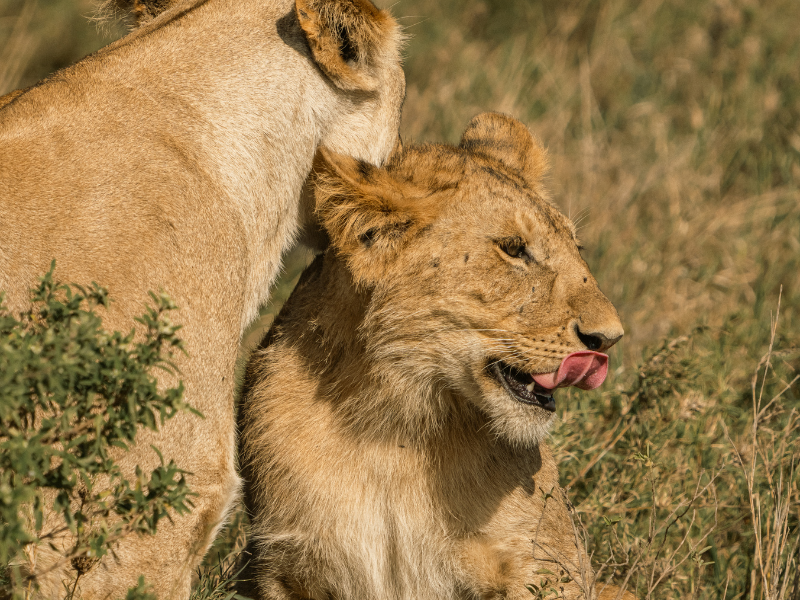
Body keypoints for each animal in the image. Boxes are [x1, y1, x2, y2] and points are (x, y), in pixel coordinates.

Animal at [238, 112, 633, 600]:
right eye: (513, 249)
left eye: (576, 248)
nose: (610, 338)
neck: (393, 427)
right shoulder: (284, 567)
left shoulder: (552, 565)